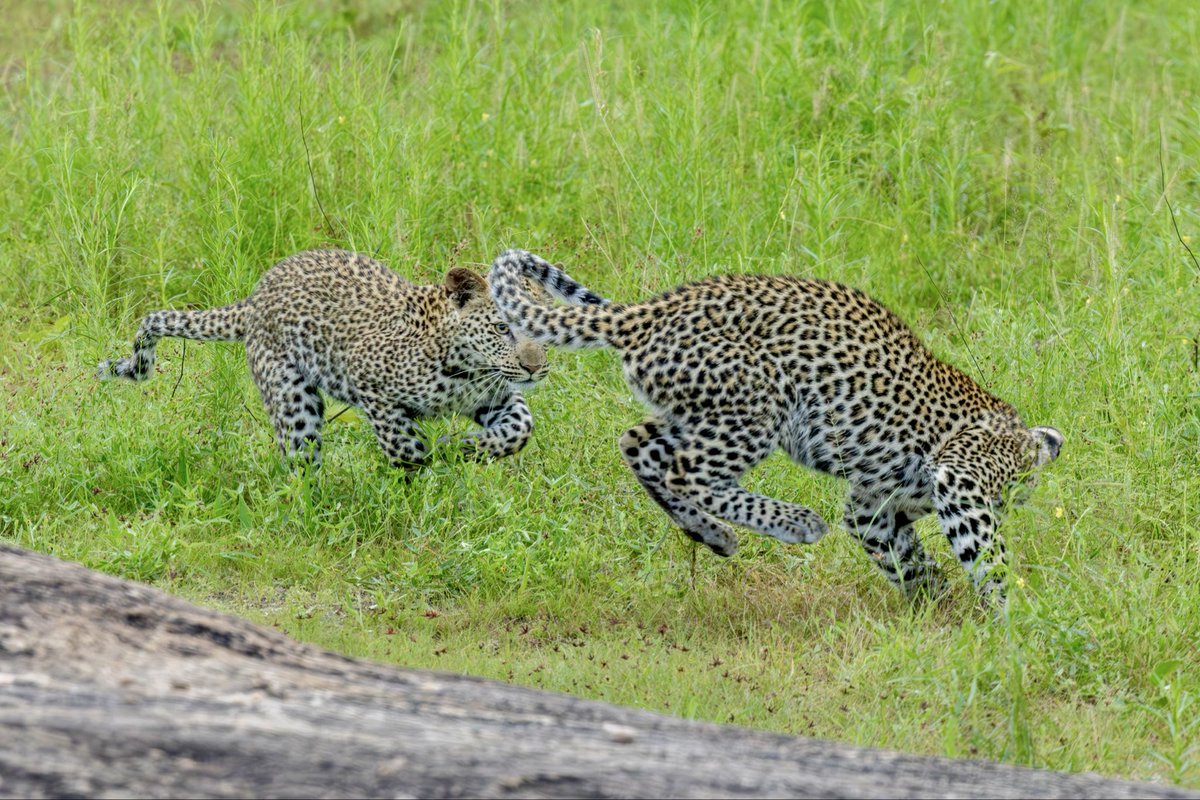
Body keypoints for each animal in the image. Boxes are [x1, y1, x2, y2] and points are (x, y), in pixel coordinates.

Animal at [97, 249, 549, 472]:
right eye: (502, 328)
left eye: (539, 326)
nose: (535, 368)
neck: (465, 369)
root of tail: (257, 294)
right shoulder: (369, 382)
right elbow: (403, 445)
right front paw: (427, 467)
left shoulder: (493, 397)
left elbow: (521, 428)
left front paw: (467, 448)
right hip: (294, 399)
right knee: (298, 462)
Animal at [487, 248, 1063, 605]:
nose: (1013, 501)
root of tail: (644, 314)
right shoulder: (961, 479)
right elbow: (987, 555)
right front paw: (1012, 625)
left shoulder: (872, 509)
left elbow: (905, 557)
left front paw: (935, 606)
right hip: (759, 405)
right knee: (687, 471)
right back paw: (794, 523)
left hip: (698, 412)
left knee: (638, 444)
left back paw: (714, 535)